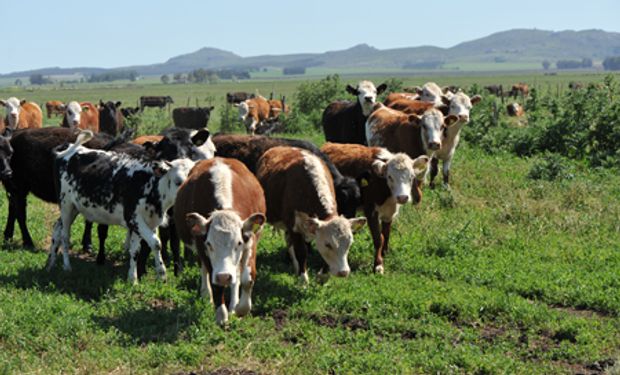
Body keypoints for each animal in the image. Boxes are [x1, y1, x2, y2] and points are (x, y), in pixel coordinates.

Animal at [46, 131, 195, 284]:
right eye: (178, 181)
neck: (150, 183)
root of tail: (67, 149)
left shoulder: (147, 221)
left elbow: (136, 249)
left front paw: (133, 279)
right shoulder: (133, 218)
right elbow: (155, 243)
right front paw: (161, 274)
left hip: (74, 208)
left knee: (57, 228)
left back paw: (51, 263)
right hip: (66, 205)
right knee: (65, 235)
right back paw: (66, 266)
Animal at [258, 145, 368, 284]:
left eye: (349, 243)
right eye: (328, 244)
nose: (343, 272)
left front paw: (323, 276)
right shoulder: (294, 225)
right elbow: (301, 251)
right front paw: (303, 279)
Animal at [322, 142, 428, 274]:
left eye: (411, 176)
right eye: (390, 176)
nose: (402, 197)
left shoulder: (390, 212)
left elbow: (386, 234)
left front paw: (384, 253)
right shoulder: (371, 211)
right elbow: (378, 238)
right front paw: (378, 264)